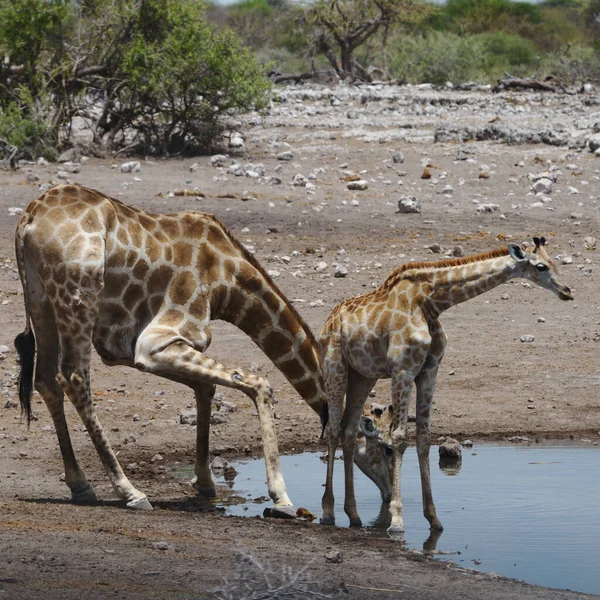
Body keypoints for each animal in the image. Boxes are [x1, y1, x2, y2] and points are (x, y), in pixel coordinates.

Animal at [12, 184, 390, 516]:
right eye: (385, 447)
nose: (388, 495)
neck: (228, 280)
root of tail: (27, 220)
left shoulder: (132, 348)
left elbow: (207, 387)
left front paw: (205, 483)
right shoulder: (156, 342)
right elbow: (258, 384)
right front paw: (281, 496)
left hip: (41, 301)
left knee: (46, 379)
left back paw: (80, 484)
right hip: (78, 299)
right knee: (74, 378)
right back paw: (130, 491)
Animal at [322, 237, 576, 532]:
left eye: (556, 262)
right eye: (541, 266)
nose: (567, 291)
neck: (431, 303)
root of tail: (329, 321)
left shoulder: (429, 371)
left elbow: (424, 439)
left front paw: (434, 518)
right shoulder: (403, 370)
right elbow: (399, 437)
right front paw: (397, 520)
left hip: (363, 374)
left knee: (349, 431)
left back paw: (353, 515)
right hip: (335, 367)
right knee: (333, 430)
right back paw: (328, 512)